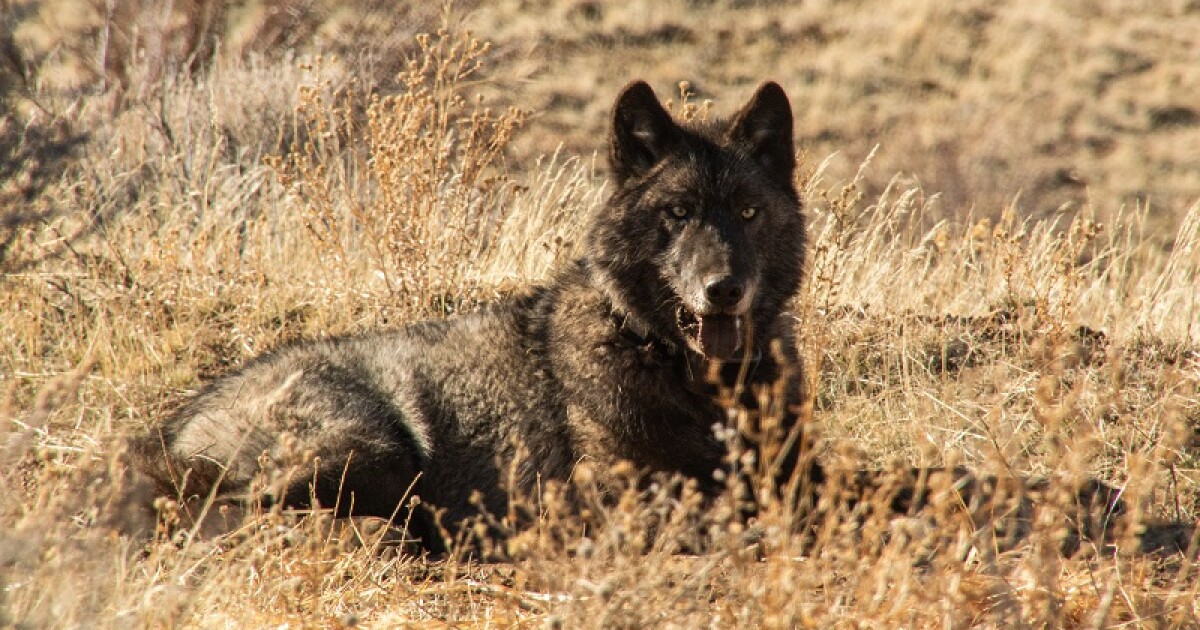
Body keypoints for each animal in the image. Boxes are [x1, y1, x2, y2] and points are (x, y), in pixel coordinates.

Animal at [133, 80, 817, 550]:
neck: (695, 382)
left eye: (749, 212)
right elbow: (724, 517)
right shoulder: (613, 499)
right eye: (677, 213)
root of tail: (175, 427)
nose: (724, 289)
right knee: (244, 514)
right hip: (372, 448)